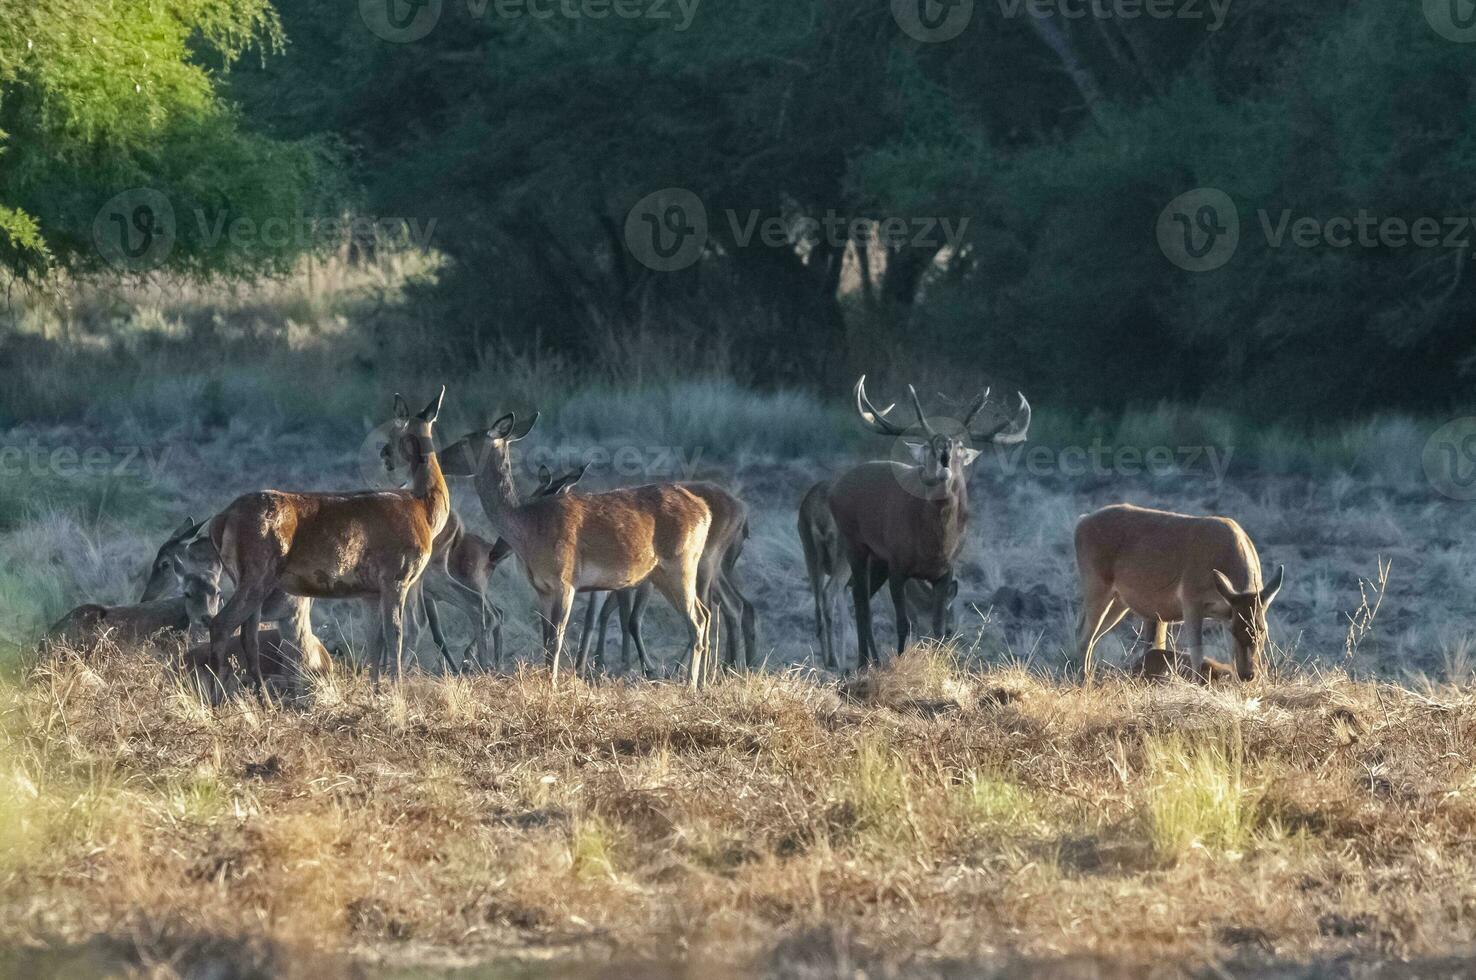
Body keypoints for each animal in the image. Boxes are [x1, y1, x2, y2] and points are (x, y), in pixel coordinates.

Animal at [205, 386, 448, 693]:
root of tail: (221, 519)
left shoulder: (369, 592)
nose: (385, 455)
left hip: (245, 576)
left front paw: (375, 691)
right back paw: (215, 697)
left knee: (248, 635)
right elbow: (395, 636)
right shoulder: (396, 576)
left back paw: (261, 698)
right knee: (221, 625)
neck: (424, 510)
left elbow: (375, 642)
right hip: (258, 570)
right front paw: (397, 691)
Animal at [436, 413, 714, 687]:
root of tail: (704, 511)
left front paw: (553, 685)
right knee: (705, 613)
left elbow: (556, 640)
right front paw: (548, 681)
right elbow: (546, 640)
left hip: (682, 564)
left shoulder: (565, 580)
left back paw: (690, 685)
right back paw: (699, 682)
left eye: (465, 440)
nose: (437, 456)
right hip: (661, 574)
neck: (529, 527)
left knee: (697, 621)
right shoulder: (542, 588)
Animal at [797, 475, 956, 673]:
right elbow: (899, 616)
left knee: (818, 604)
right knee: (829, 593)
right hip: (844, 555)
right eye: (950, 630)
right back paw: (835, 661)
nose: (945, 655)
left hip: (809, 551)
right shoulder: (885, 577)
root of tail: (818, 509)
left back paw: (827, 660)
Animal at [826, 374, 1033, 673]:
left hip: (878, 558)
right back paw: (864, 663)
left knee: (858, 592)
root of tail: (836, 487)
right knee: (860, 600)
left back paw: (873, 661)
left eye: (959, 447)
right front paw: (900, 665)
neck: (933, 545)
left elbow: (937, 628)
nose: (944, 452)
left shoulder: (945, 572)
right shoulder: (898, 564)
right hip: (853, 539)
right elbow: (904, 624)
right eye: (929, 445)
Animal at [1074, 504, 1281, 681]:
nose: (1248, 675)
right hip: (1096, 585)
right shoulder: (1191, 599)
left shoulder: (1226, 612)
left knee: (1088, 635)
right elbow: (1197, 652)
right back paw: (1084, 682)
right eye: (1234, 630)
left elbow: (1229, 655)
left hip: (1119, 601)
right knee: (1084, 637)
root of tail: (1081, 522)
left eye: (1262, 629)